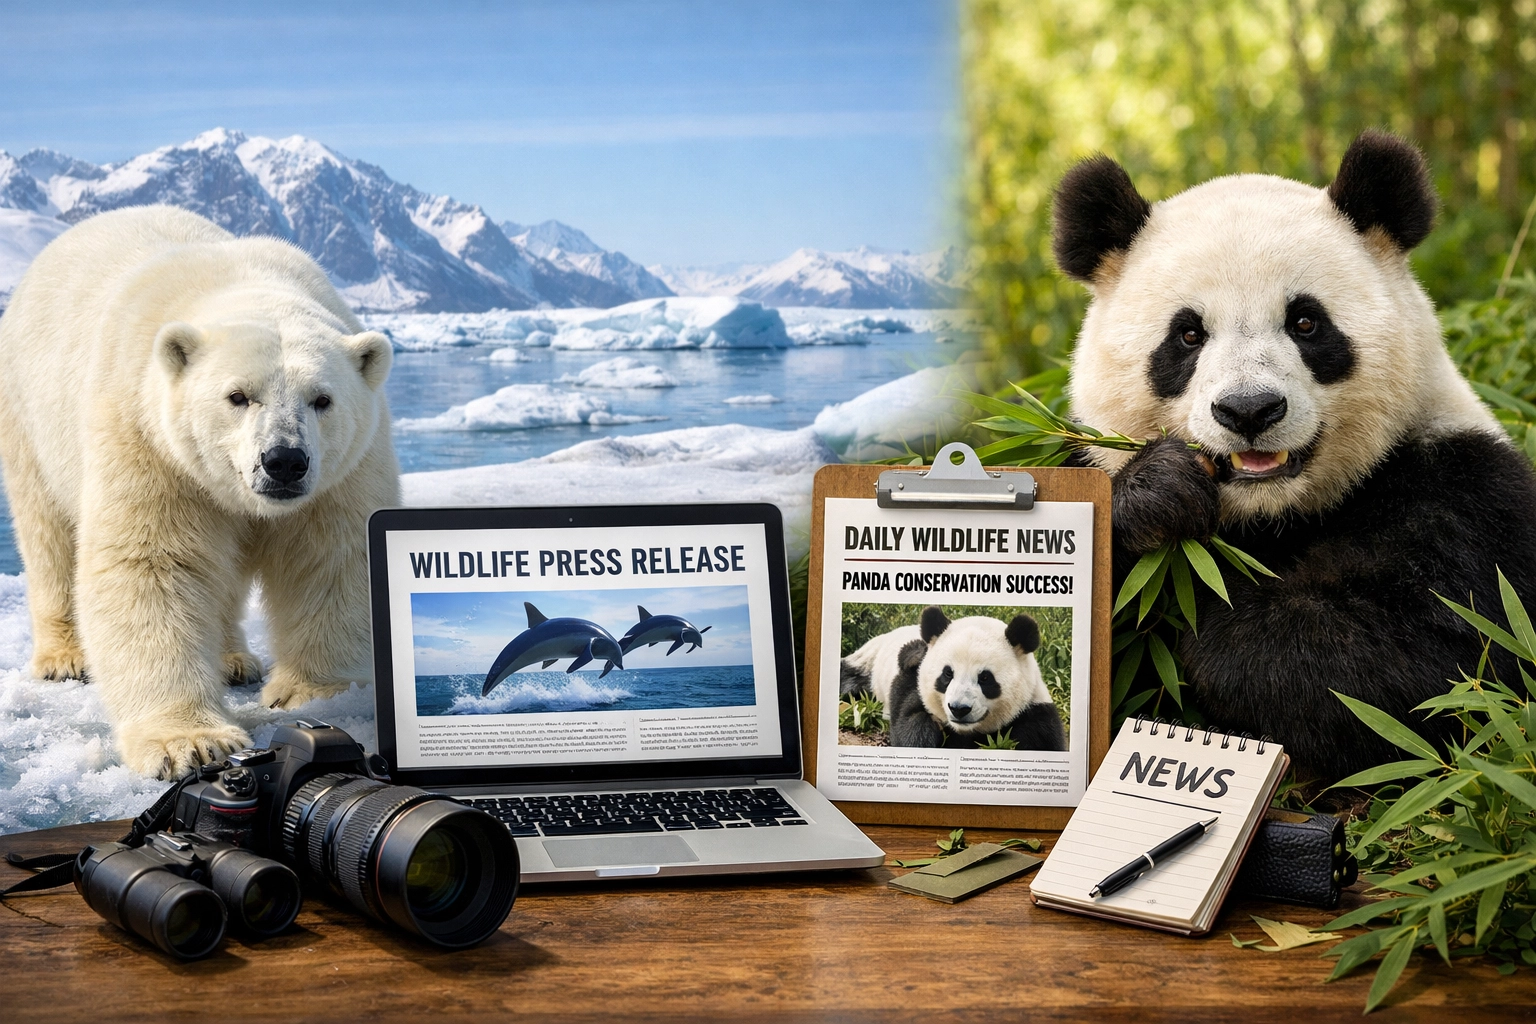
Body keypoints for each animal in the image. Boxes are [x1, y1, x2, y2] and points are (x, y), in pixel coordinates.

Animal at [0, 205, 400, 778]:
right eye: (238, 396)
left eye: (322, 399)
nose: (284, 461)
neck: (243, 283)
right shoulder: (149, 438)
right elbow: (152, 564)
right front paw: (189, 742)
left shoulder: (344, 469)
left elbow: (331, 558)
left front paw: (315, 693)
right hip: (29, 416)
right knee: (47, 532)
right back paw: (64, 656)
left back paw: (233, 660)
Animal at [840, 606, 1067, 750]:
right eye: (948, 674)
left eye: (985, 678)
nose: (959, 709)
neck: (967, 732)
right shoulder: (914, 684)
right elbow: (910, 724)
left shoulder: (1033, 711)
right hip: (867, 664)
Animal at [1051, 129, 1536, 780]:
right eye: (1188, 335)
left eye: (1306, 322)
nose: (1250, 410)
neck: (1271, 515)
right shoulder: (1083, 464)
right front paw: (1158, 494)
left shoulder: (1461, 488)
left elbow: (1446, 658)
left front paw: (1216, 627)